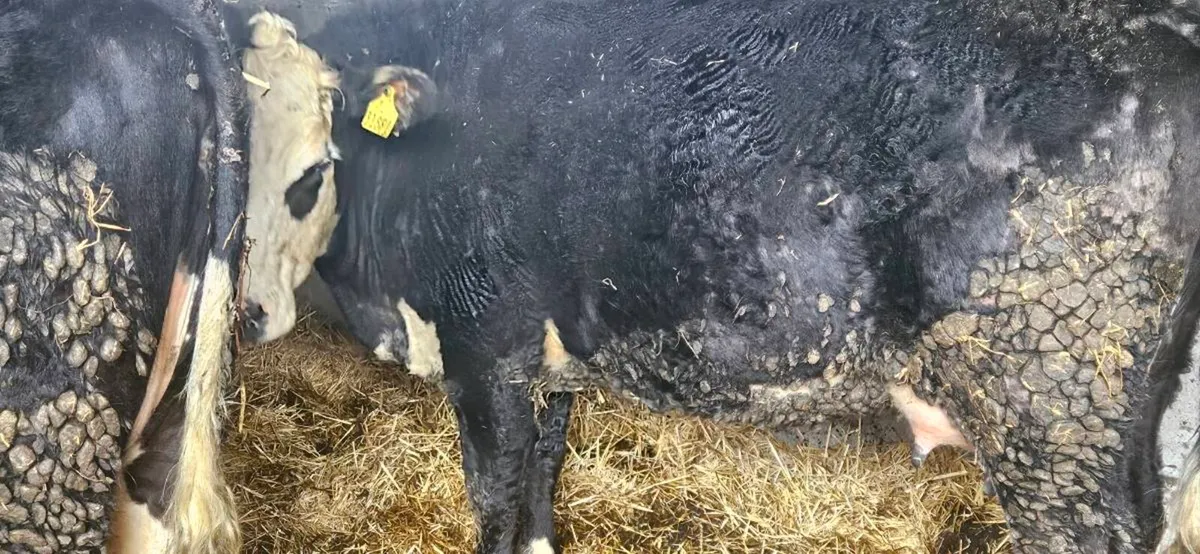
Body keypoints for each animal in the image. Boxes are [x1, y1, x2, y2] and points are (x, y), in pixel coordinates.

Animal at [235, 1, 1200, 552]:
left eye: (314, 169)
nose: (245, 312)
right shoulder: (551, 353)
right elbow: (545, 476)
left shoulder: (484, 350)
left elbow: (498, 500)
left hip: (1053, 420)